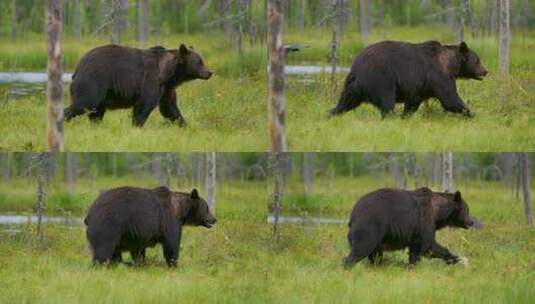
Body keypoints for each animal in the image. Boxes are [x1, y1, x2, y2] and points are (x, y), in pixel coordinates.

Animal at [64, 43, 211, 126]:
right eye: (199, 62)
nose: (210, 72)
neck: (169, 75)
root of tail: (78, 66)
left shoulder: (166, 90)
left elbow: (170, 109)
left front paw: (185, 125)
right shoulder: (151, 82)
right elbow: (143, 107)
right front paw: (137, 127)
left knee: (96, 112)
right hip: (94, 81)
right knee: (85, 103)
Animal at [85, 186, 217, 268]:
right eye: (206, 208)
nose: (214, 219)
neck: (181, 210)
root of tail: (89, 212)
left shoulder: (136, 234)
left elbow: (138, 250)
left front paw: (140, 263)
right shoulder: (170, 220)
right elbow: (171, 245)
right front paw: (174, 264)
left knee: (114, 253)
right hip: (108, 226)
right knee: (103, 251)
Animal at [328, 39, 488, 117]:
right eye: (477, 60)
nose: (486, 71)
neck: (450, 65)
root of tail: (356, 67)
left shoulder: (420, 86)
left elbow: (412, 103)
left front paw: (405, 116)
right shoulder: (438, 77)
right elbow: (450, 99)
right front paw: (471, 113)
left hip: (352, 86)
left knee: (345, 102)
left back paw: (331, 114)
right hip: (382, 79)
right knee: (387, 103)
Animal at [346, 188, 480, 268]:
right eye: (467, 209)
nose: (471, 222)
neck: (438, 213)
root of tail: (353, 213)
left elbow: (433, 248)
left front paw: (459, 259)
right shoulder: (424, 220)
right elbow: (425, 245)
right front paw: (412, 265)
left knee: (375, 254)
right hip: (370, 227)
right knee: (361, 248)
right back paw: (348, 266)